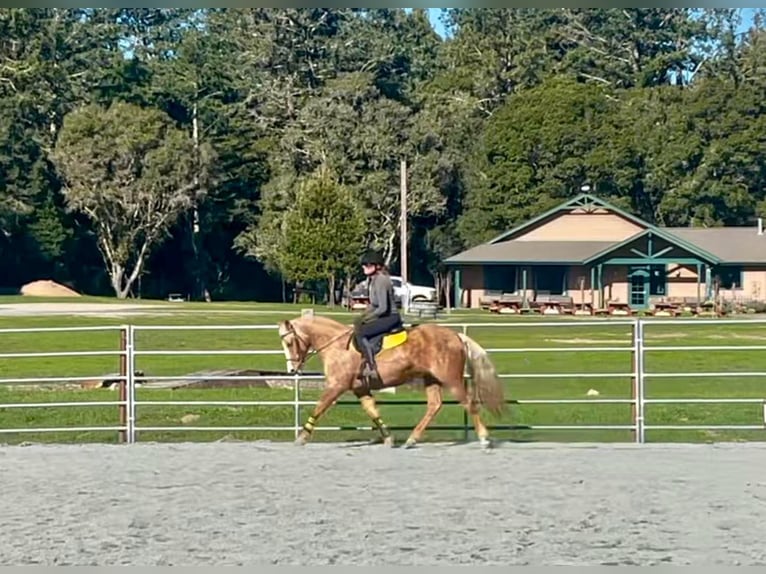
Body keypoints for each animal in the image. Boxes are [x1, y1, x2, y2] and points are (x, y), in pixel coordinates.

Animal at [277, 314, 506, 449]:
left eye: (289, 342)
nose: (292, 370)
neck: (337, 345)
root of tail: (457, 336)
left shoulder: (336, 386)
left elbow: (318, 408)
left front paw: (301, 437)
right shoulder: (360, 389)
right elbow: (372, 411)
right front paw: (388, 438)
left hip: (451, 380)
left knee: (469, 403)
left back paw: (484, 439)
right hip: (431, 379)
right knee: (434, 405)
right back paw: (411, 439)